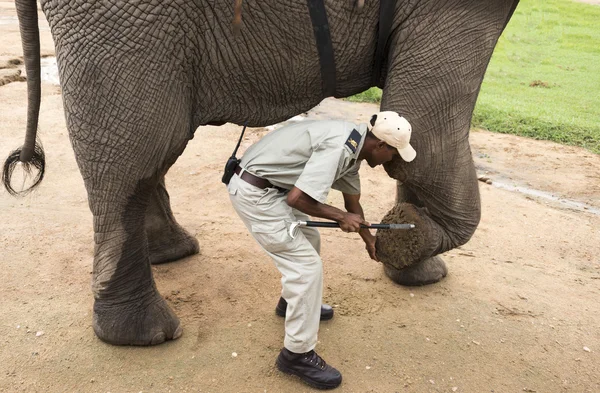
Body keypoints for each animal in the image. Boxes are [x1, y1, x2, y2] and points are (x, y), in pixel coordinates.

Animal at [3, 0, 520, 344]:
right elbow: (426, 133)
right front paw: (410, 248)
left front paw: (405, 257)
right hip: (120, 20)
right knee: (136, 150)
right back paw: (145, 336)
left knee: (153, 150)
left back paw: (174, 256)